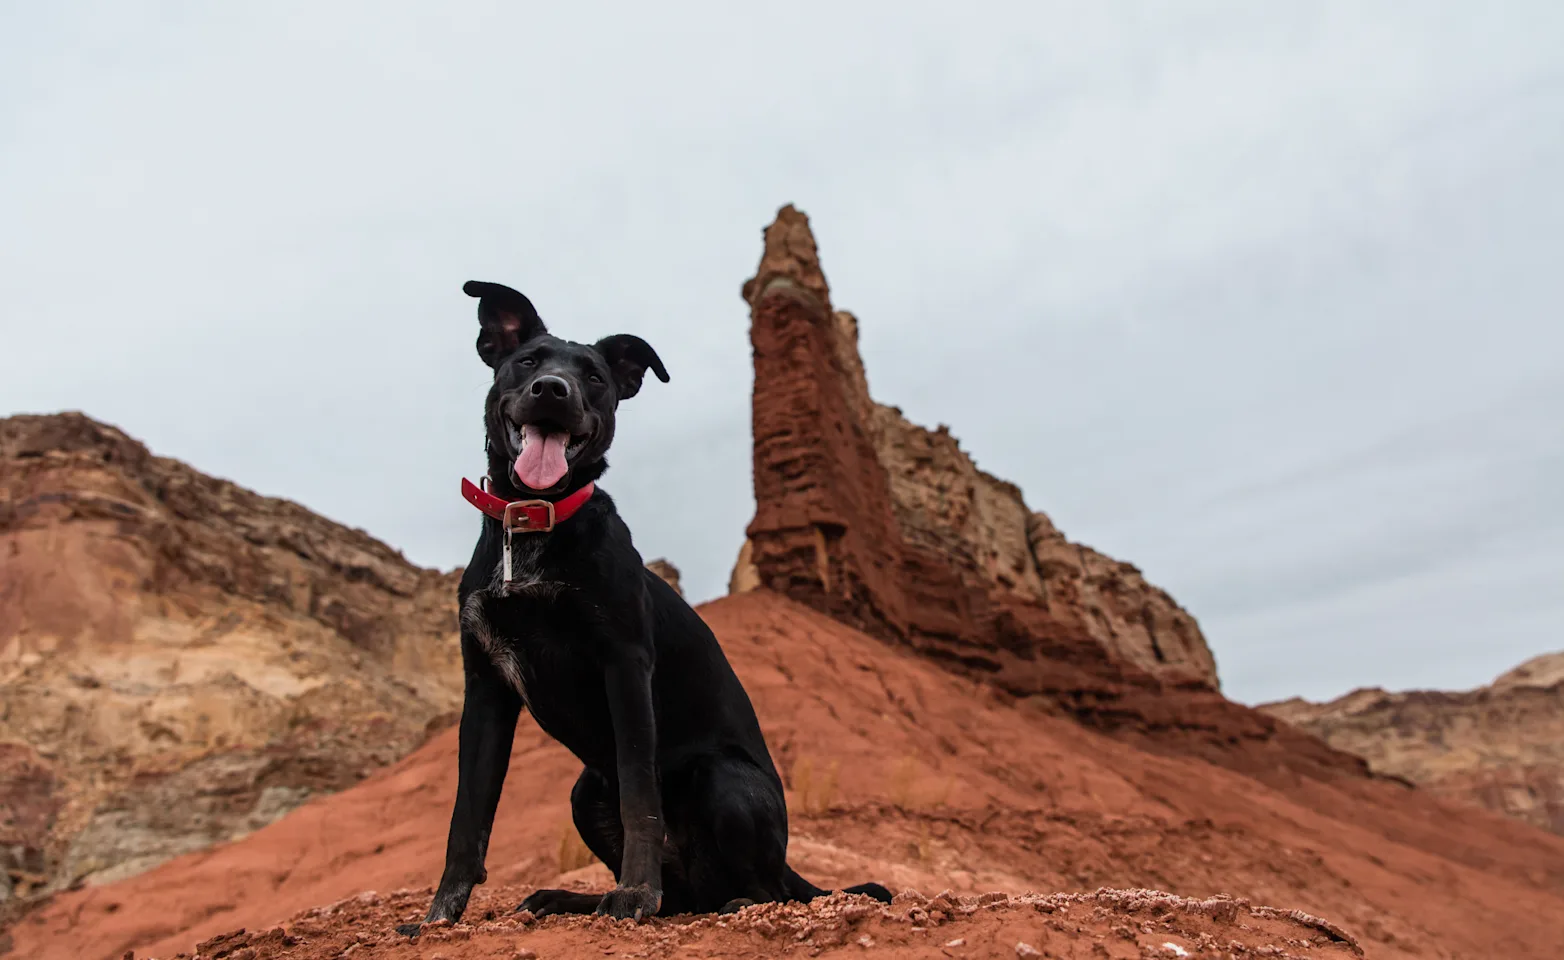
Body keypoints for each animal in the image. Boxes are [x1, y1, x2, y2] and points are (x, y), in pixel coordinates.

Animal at [403, 276, 894, 931]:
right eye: (527, 362)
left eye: (593, 377)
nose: (552, 390)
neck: (536, 523)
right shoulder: (485, 688)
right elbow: (467, 818)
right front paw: (438, 918)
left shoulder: (625, 664)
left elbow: (641, 795)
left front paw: (634, 894)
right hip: (586, 790)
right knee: (683, 897)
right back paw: (566, 899)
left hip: (720, 778)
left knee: (761, 889)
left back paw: (728, 901)